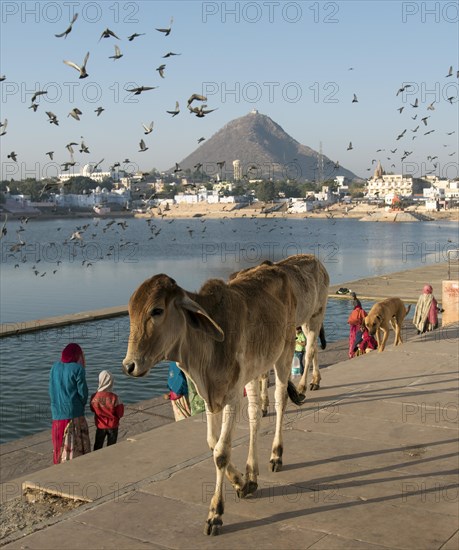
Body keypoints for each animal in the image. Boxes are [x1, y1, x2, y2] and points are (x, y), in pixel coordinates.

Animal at [124, 266, 308, 536]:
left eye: (156, 310)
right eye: (130, 312)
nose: (129, 365)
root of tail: (274, 267)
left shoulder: (231, 397)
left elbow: (221, 452)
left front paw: (215, 513)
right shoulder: (211, 398)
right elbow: (213, 442)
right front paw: (241, 483)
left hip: (283, 353)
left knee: (279, 401)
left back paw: (276, 455)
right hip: (252, 374)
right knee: (254, 415)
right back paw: (252, 472)